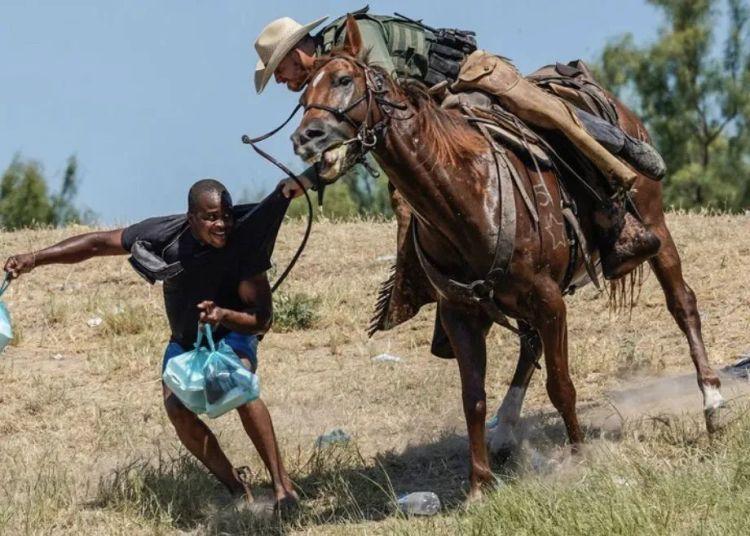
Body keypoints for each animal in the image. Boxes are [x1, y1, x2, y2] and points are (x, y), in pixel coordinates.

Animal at [292, 16, 724, 500]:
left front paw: (579, 457)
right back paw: (505, 432)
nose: (305, 137)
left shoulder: (550, 301)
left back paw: (712, 403)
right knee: (529, 343)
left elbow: (561, 385)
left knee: (682, 303)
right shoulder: (461, 313)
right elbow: (473, 398)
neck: (466, 195)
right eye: (302, 94)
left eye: (344, 80)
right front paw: (479, 484)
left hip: (655, 226)